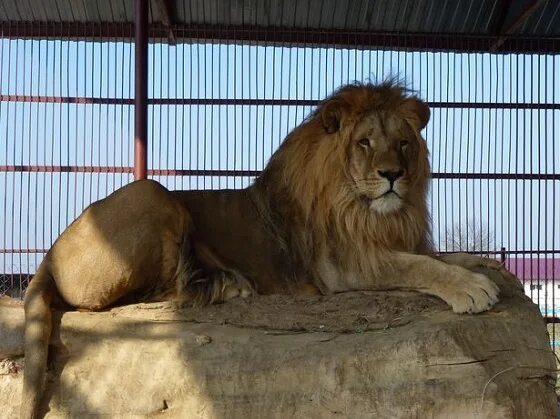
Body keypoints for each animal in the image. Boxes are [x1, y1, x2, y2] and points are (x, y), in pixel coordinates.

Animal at [20, 82, 504, 419]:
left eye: (404, 143)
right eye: (364, 143)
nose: (392, 175)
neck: (372, 213)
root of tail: (48, 253)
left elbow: (441, 256)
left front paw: (484, 266)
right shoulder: (345, 269)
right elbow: (420, 266)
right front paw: (472, 290)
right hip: (154, 194)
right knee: (152, 293)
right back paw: (227, 285)